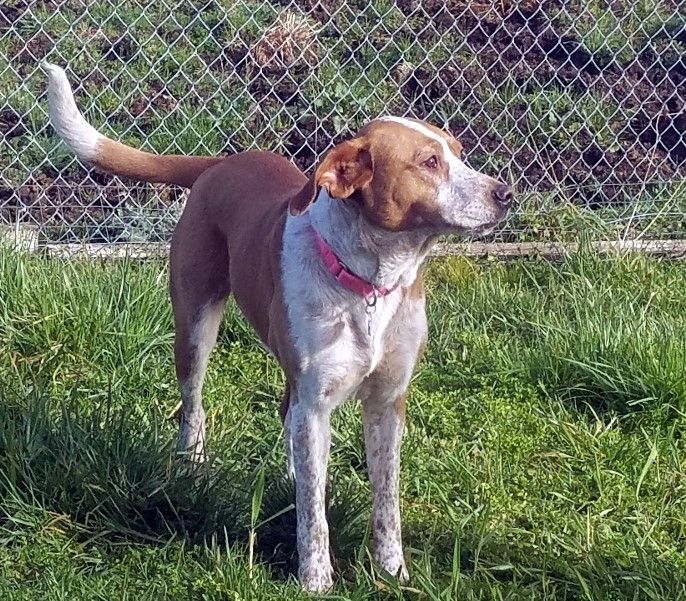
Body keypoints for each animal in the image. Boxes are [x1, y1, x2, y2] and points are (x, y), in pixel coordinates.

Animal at [43, 61, 512, 592]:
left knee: (288, 421)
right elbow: (314, 515)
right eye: (429, 162)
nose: (505, 192)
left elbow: (386, 501)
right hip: (194, 325)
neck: (370, 281)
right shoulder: (317, 400)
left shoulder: (388, 402)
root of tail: (219, 163)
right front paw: (315, 579)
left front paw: (392, 572)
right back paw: (193, 467)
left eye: (459, 152)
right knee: (194, 405)